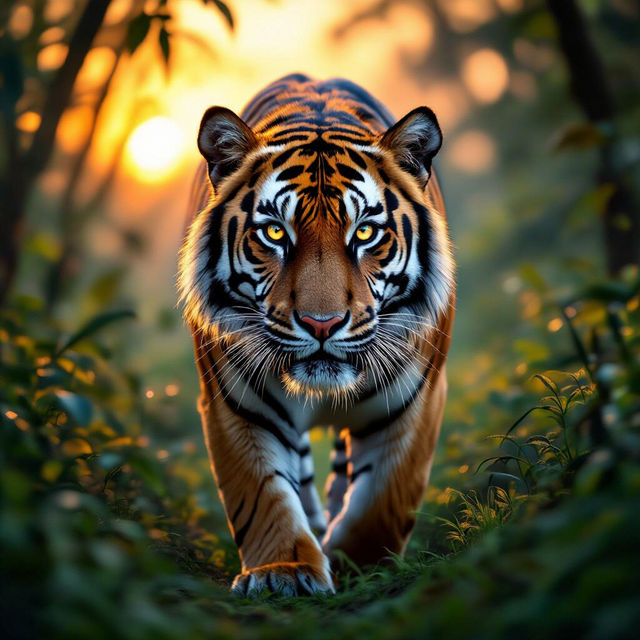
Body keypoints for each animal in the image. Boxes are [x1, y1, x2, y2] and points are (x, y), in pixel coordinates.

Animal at [178, 73, 455, 597]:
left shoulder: (417, 398)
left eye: (365, 233)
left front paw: (360, 567)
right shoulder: (234, 402)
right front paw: (283, 572)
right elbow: (260, 492)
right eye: (274, 233)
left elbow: (384, 498)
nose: (321, 324)